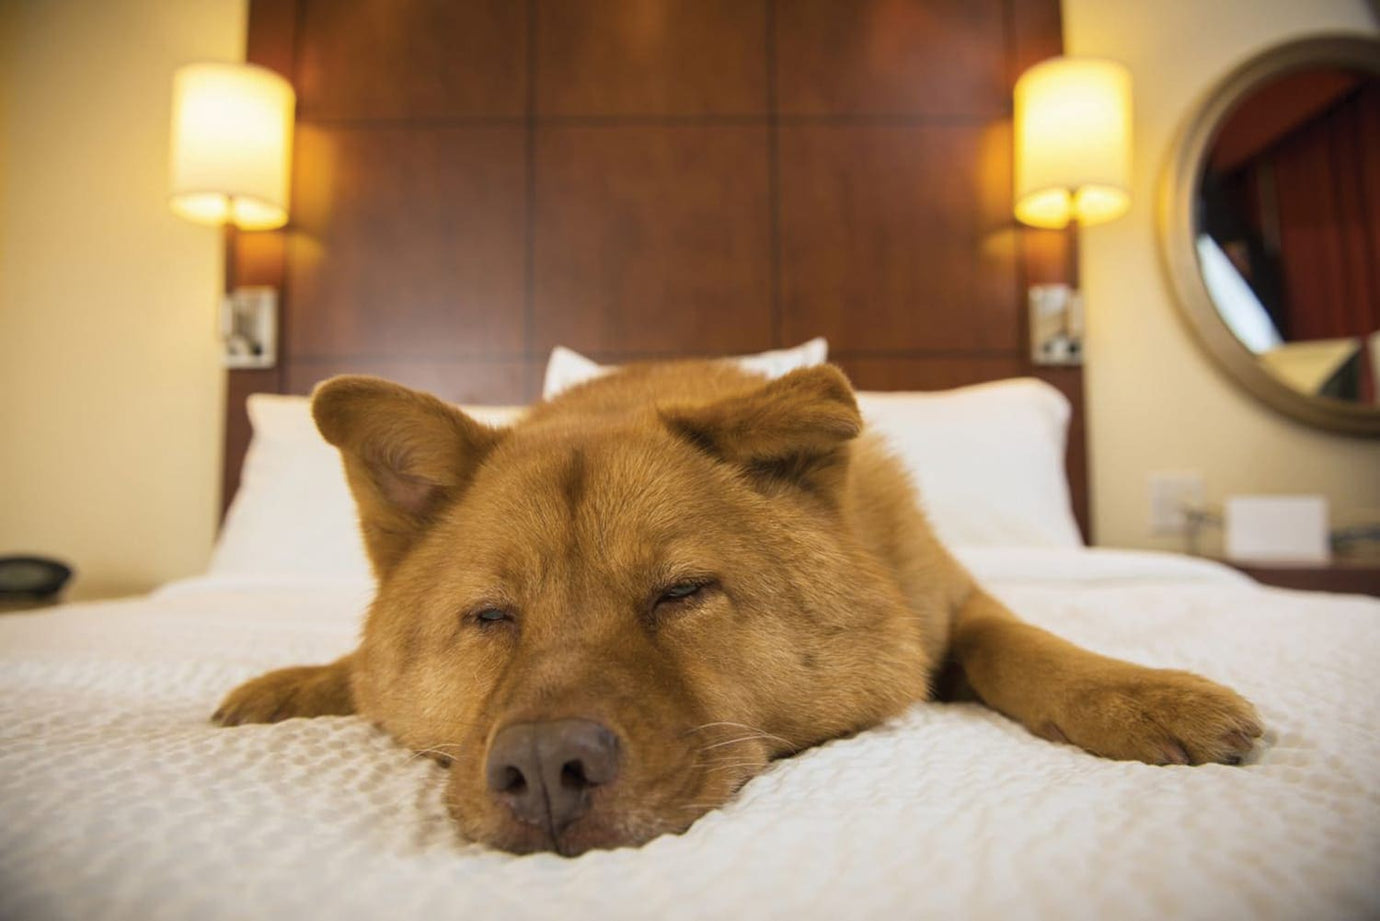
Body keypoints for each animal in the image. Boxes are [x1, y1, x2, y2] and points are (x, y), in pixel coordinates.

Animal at [215, 359, 1264, 856]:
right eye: (491, 616)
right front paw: (296, 683)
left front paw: (1146, 694)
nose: (546, 770)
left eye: (682, 592)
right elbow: (360, 673)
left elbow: (1026, 644)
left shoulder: (956, 604)